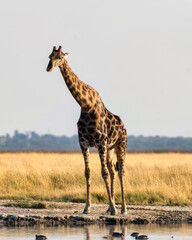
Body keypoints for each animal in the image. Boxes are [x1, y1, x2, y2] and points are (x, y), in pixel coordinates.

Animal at [46, 46, 127, 215]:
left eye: (60, 57)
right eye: (49, 56)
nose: (48, 67)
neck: (85, 105)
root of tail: (123, 126)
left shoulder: (101, 142)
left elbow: (103, 173)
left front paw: (113, 208)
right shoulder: (83, 142)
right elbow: (88, 172)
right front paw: (87, 207)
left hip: (120, 145)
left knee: (121, 171)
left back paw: (123, 209)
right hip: (110, 148)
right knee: (113, 170)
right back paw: (110, 207)